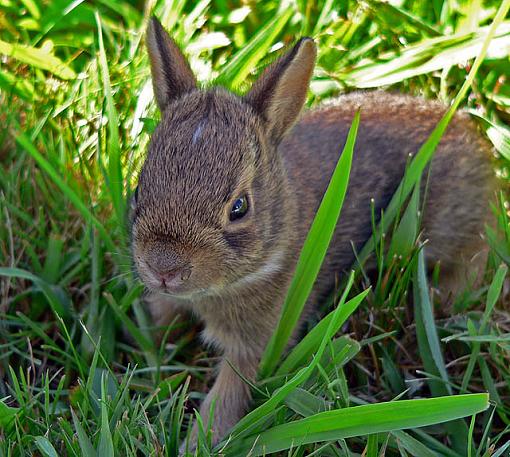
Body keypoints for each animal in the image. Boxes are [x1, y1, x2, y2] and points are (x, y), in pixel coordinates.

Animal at [129, 16, 496, 450]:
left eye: (239, 207)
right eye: (139, 187)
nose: (164, 269)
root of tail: (475, 142)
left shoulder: (255, 344)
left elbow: (228, 397)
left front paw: (197, 444)